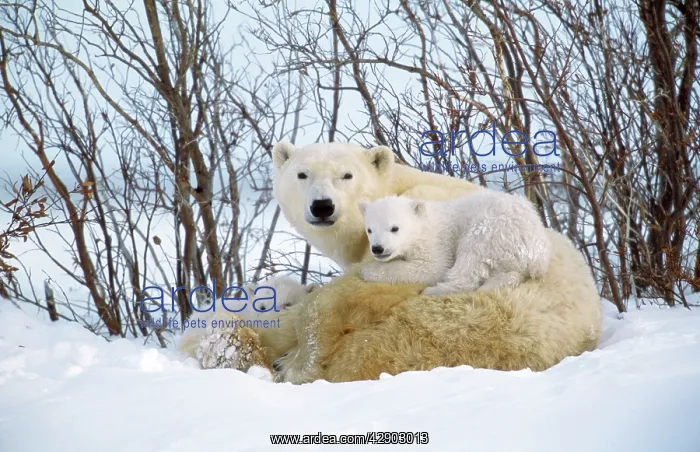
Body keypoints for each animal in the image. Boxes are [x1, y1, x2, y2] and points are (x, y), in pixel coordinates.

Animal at [358, 191, 552, 295]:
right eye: (369, 230)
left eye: (394, 228)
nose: (377, 248)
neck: (424, 224)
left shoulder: (435, 242)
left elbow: (431, 268)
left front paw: (368, 270)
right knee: (509, 274)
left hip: (491, 230)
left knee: (469, 266)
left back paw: (433, 291)